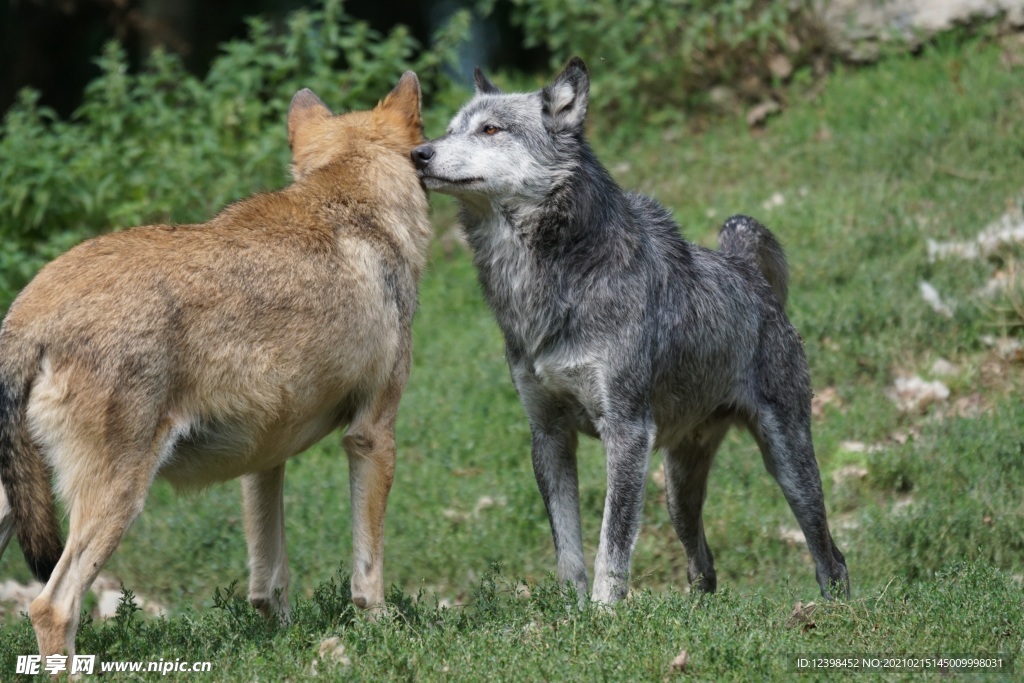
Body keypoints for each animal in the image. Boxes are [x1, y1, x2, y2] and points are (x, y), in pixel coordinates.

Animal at [0, 72, 430, 659]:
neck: (354, 204)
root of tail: (27, 314)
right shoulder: (372, 437)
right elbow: (368, 573)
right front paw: (383, 632)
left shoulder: (265, 456)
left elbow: (270, 581)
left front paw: (284, 642)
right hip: (117, 501)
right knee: (52, 606)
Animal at [411, 57, 851, 602]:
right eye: (450, 129)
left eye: (490, 129)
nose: (418, 153)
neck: (551, 281)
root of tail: (743, 267)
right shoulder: (548, 435)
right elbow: (569, 553)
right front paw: (571, 612)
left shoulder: (625, 433)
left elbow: (611, 547)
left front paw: (603, 614)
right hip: (676, 491)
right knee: (703, 564)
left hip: (786, 465)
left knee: (830, 555)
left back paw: (833, 609)